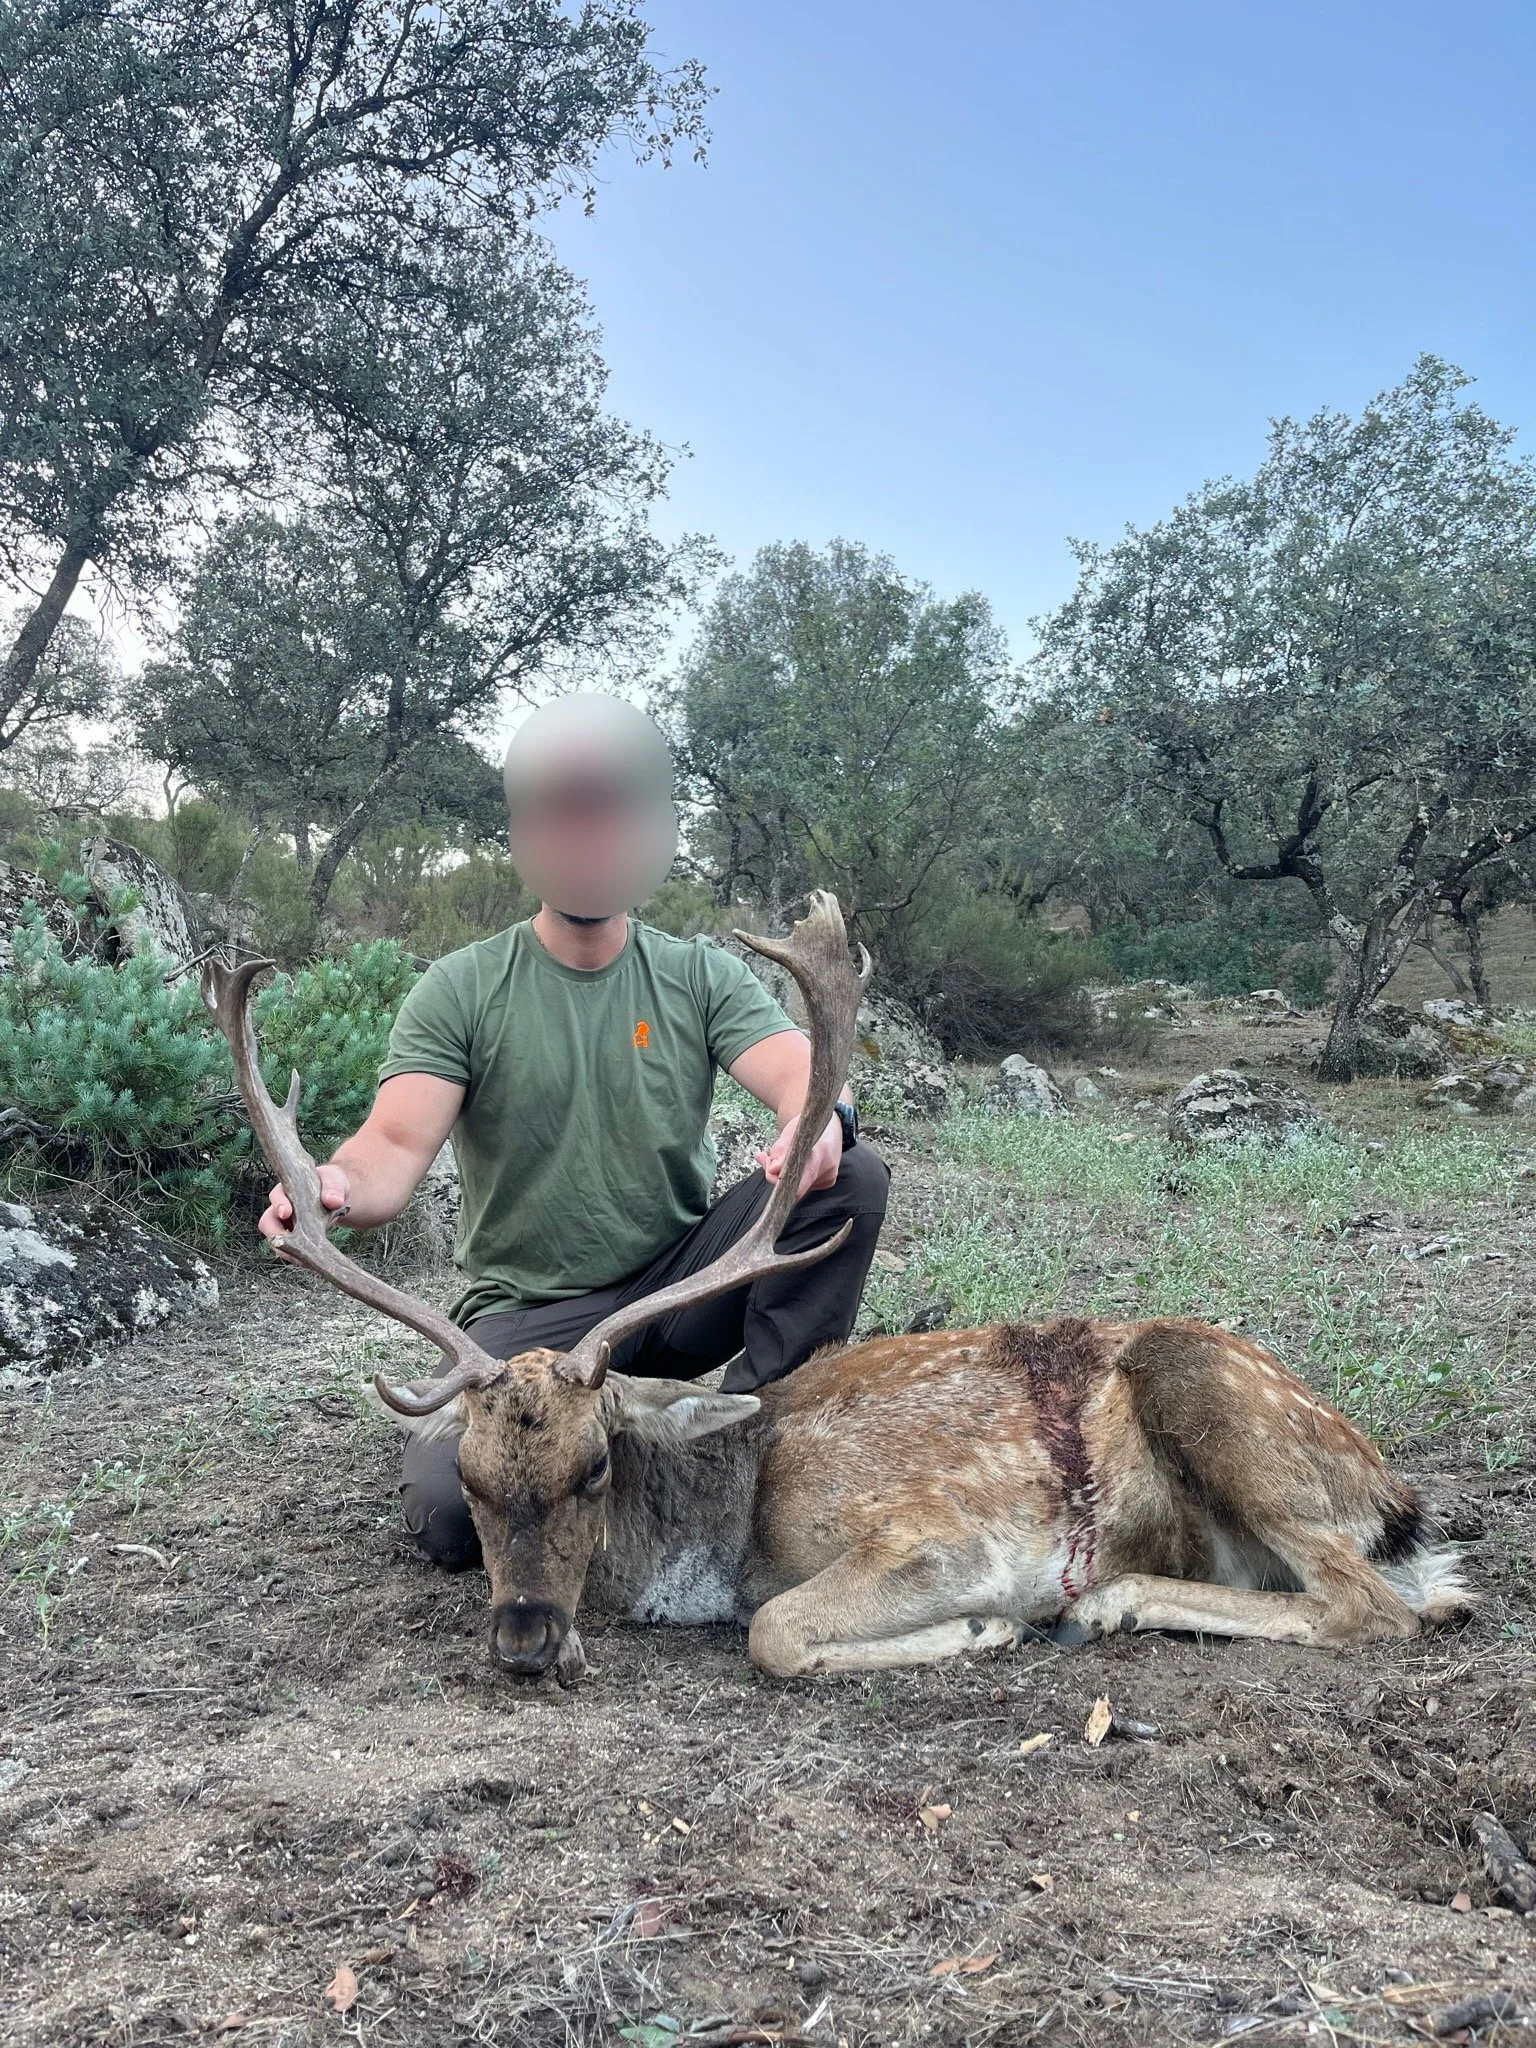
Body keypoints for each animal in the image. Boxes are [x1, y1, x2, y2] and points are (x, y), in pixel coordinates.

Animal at [203, 892, 1473, 1687]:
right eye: (467, 1476)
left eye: (596, 1463)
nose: (522, 1639)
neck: (729, 1529)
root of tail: (1396, 1493)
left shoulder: (936, 1533)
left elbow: (774, 1629)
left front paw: (984, 1630)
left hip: (1212, 1395)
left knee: (1373, 1601)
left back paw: (1107, 1601)